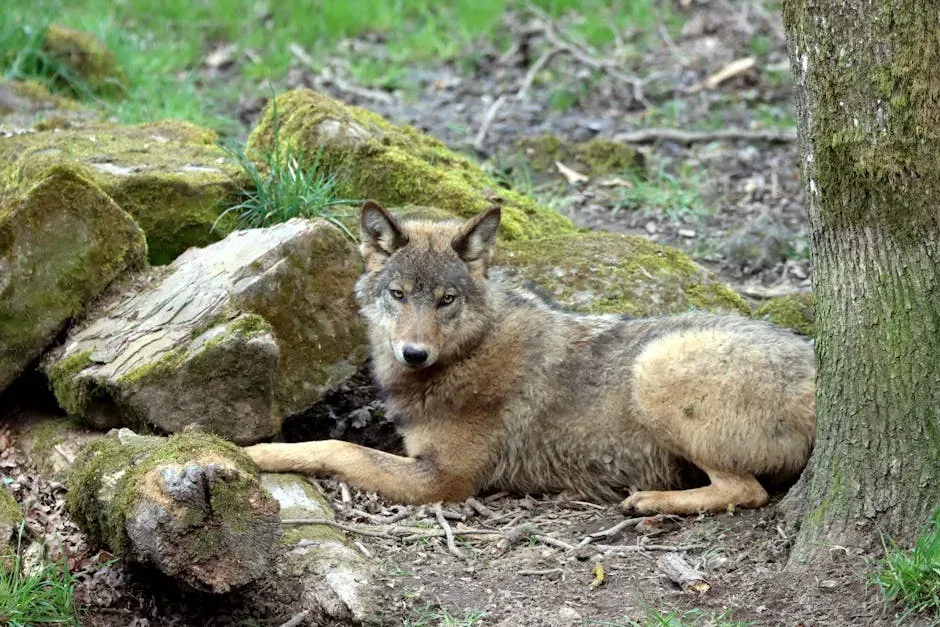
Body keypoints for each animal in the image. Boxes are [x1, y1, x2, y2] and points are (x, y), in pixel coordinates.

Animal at [245, 201, 816, 515]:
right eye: (399, 295)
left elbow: (336, 448)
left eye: (445, 300)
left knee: (747, 491)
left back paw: (652, 502)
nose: (413, 353)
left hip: (655, 367)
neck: (469, 353)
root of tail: (816, 371)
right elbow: (343, 443)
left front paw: (254, 452)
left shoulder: (443, 481)